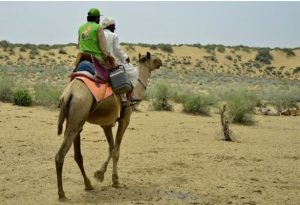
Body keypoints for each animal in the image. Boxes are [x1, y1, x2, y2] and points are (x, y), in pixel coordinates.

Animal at [54, 51, 162, 200]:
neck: (135, 91)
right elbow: (116, 150)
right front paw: (114, 180)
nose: (161, 62)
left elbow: (111, 147)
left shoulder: (106, 124)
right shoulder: (125, 118)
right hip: (78, 116)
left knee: (77, 155)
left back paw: (88, 184)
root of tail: (69, 94)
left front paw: (100, 174)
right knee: (60, 156)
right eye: (155, 59)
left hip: (75, 121)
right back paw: (62, 194)